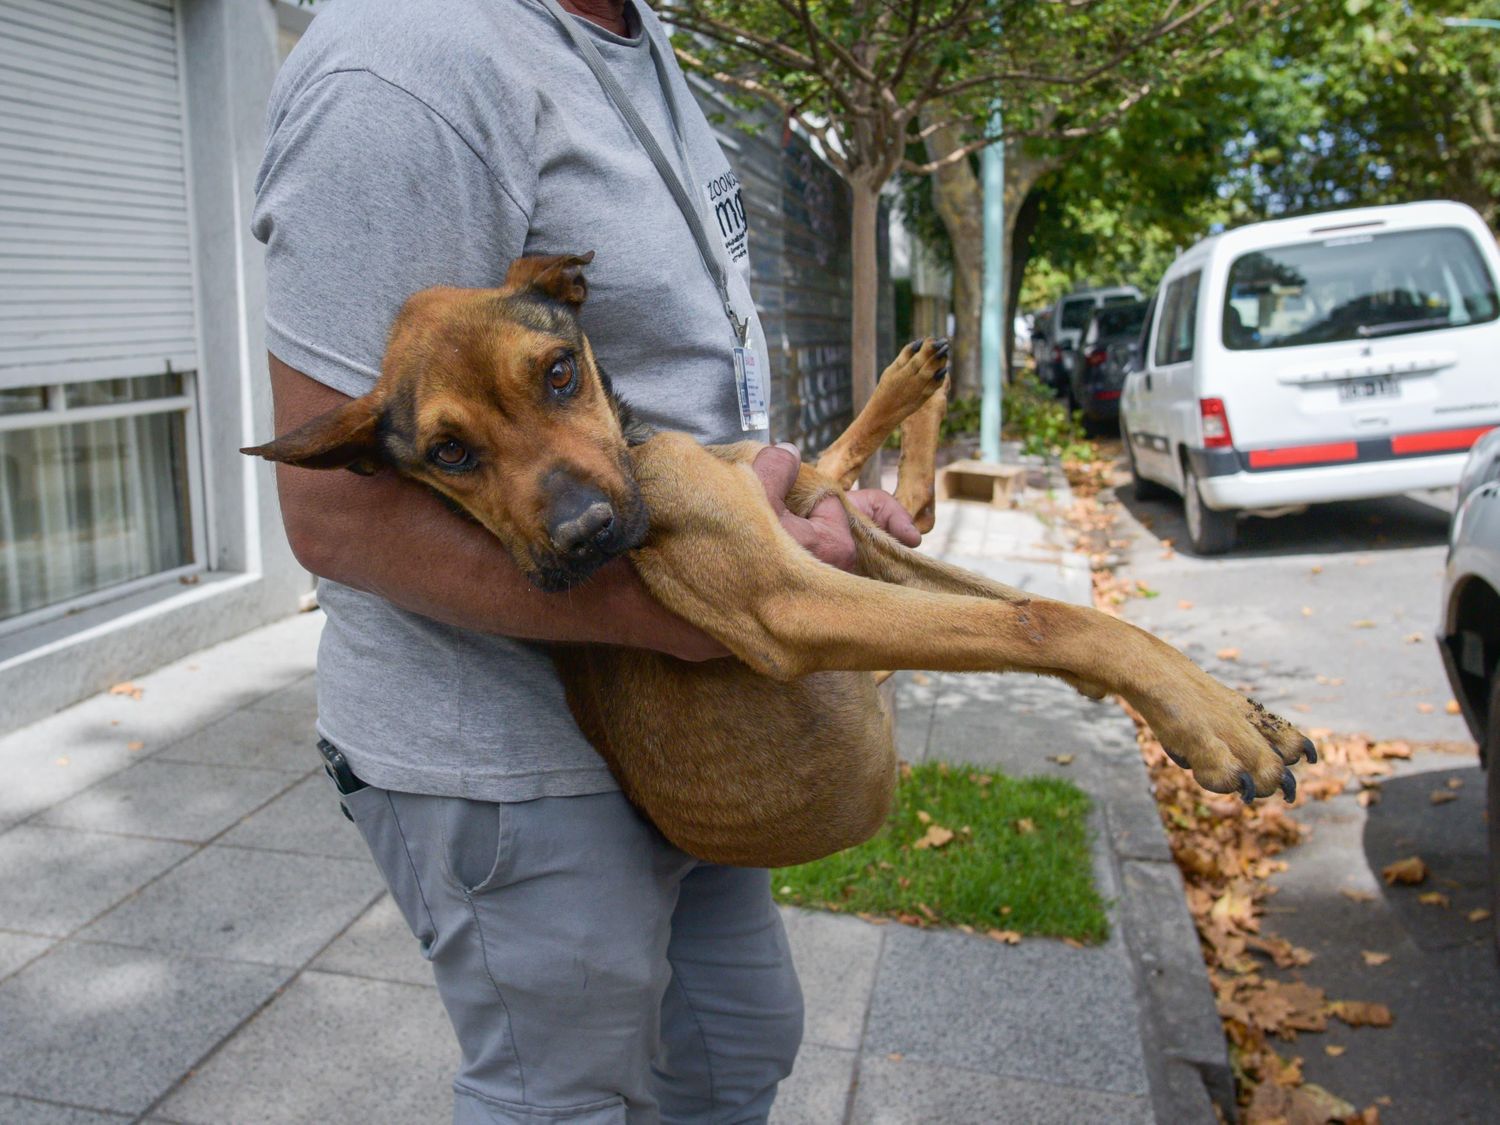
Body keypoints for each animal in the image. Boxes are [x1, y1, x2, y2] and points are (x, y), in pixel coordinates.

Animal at [240, 258, 1308, 870]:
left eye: (559, 373)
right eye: (449, 453)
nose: (588, 535)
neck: (639, 452)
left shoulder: (830, 549)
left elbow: (1039, 608)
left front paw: (1226, 706)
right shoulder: (790, 597)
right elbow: (1046, 618)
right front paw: (1212, 722)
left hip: (828, 527)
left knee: (875, 489)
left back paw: (914, 384)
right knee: (893, 503)